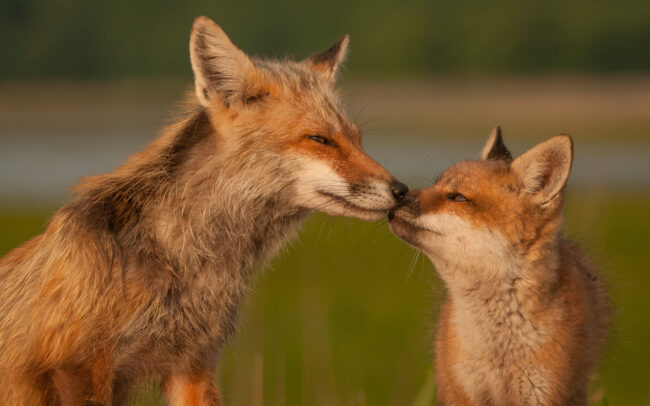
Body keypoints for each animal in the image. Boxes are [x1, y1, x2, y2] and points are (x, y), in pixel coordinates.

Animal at [0, 16, 409, 405]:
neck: (189, 264)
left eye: (358, 140)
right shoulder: (79, 364)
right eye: (320, 140)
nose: (402, 191)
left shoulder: (191, 363)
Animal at [388, 128, 610, 406]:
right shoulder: (465, 391)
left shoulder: (541, 393)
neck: (499, 353)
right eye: (435, 184)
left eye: (458, 197)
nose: (396, 195)